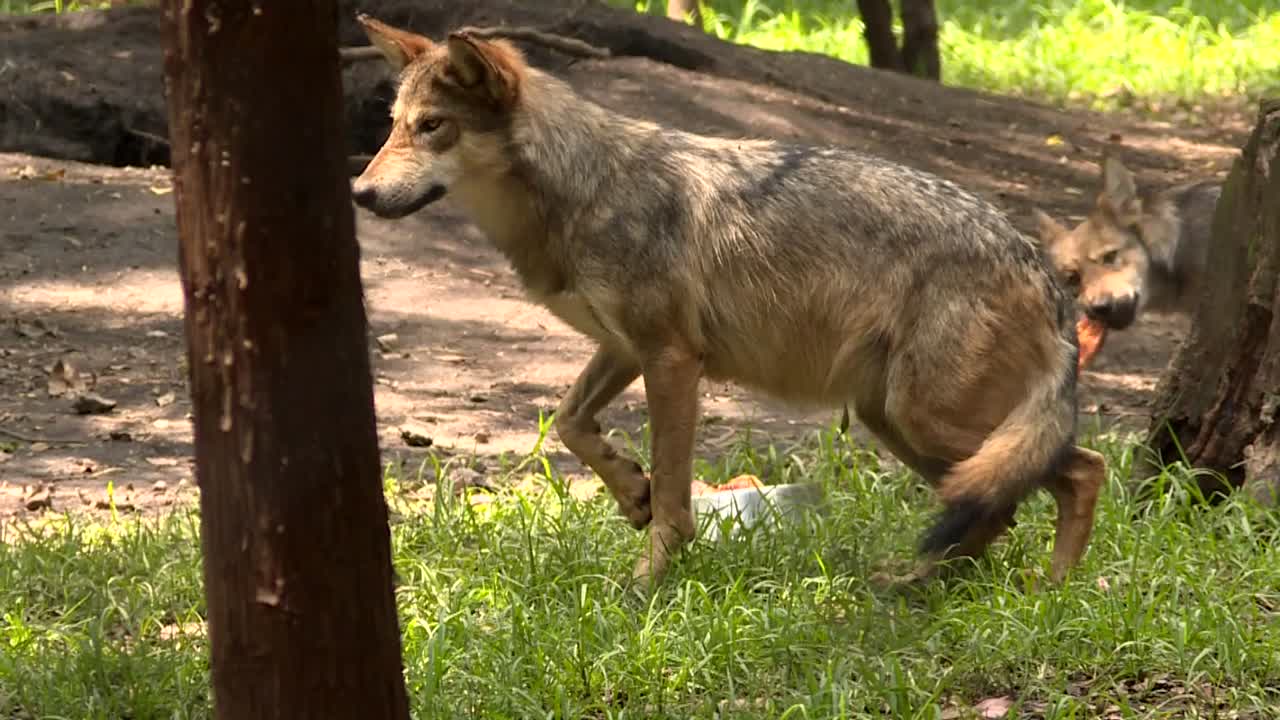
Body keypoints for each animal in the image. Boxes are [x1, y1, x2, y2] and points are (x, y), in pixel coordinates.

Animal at [349, 15, 1107, 589]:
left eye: (433, 126)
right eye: (392, 125)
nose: (359, 192)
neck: (581, 191)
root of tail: (1040, 267)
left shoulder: (671, 359)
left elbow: (675, 497)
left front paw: (647, 581)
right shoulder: (623, 347)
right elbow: (569, 424)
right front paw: (630, 491)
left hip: (930, 421)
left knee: (1080, 470)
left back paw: (1052, 592)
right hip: (896, 421)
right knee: (995, 510)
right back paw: (916, 586)